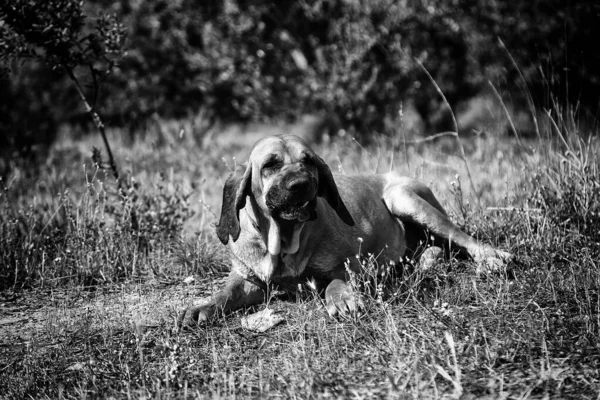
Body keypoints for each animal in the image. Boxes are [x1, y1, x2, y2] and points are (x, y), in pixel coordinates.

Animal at [179, 134, 510, 328]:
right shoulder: (247, 280)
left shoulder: (351, 265)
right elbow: (225, 293)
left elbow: (335, 281)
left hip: (403, 197)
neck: (283, 240)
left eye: (308, 161)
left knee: (465, 239)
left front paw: (342, 299)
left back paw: (493, 259)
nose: (301, 185)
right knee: (437, 248)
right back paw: (426, 262)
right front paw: (202, 307)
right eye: (270, 165)